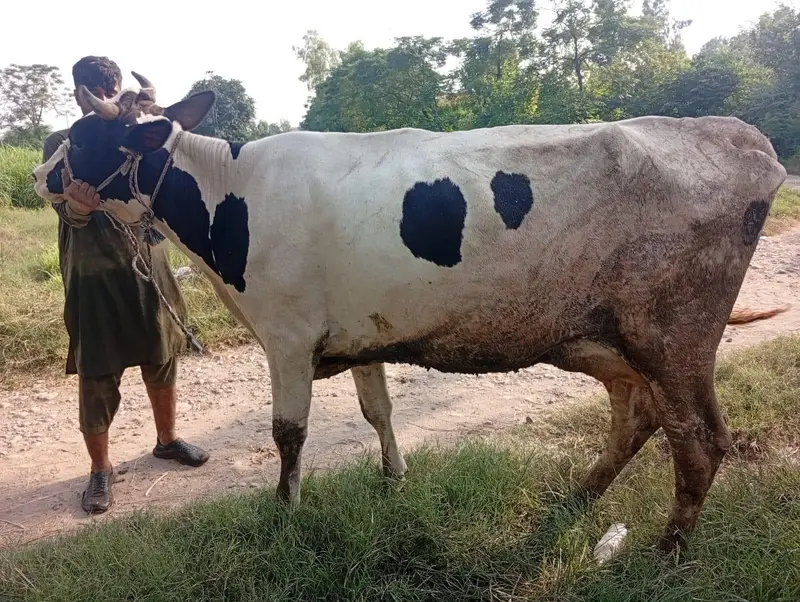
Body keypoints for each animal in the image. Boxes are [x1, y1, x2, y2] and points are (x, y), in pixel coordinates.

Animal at [33, 74, 788, 554]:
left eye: (83, 134)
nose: (40, 175)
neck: (228, 198)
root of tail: (743, 139)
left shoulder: (287, 335)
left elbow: (288, 434)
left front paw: (285, 512)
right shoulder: (361, 334)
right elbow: (378, 411)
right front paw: (393, 478)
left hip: (673, 332)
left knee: (700, 439)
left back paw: (669, 550)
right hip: (605, 339)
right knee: (637, 414)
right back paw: (579, 498)